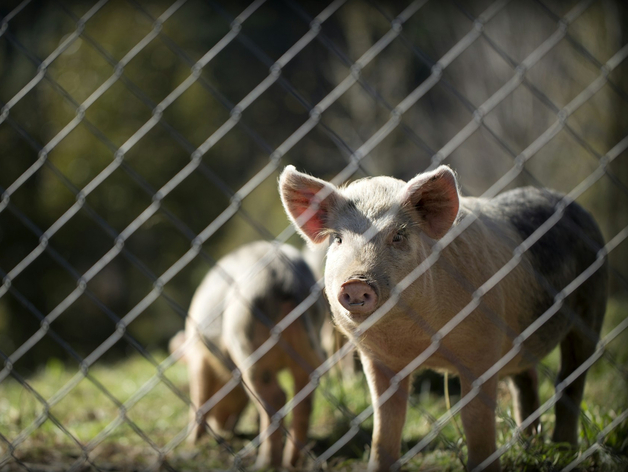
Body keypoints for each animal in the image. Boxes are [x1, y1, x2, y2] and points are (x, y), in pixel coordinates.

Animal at [185, 242, 324, 470]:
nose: (224, 430)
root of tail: (286, 277)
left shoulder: (198, 355)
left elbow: (199, 394)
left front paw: (191, 442)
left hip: (245, 335)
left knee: (276, 396)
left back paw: (264, 464)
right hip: (309, 342)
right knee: (304, 394)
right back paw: (291, 463)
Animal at [280, 165, 608, 472]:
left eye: (398, 236)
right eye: (338, 239)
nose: (355, 282)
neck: (418, 342)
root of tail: (573, 206)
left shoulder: (483, 348)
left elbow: (474, 418)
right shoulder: (377, 359)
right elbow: (386, 422)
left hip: (591, 305)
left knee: (571, 379)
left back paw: (564, 450)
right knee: (527, 380)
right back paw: (530, 446)